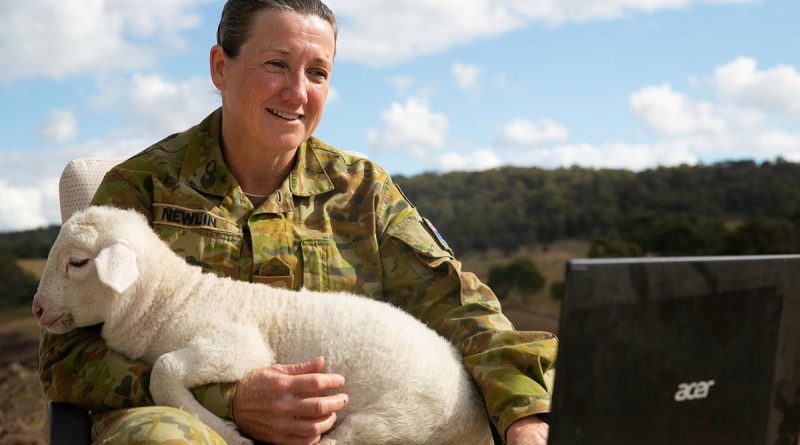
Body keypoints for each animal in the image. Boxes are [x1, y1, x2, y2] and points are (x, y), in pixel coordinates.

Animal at [32, 206, 494, 444]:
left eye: (78, 262)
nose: (37, 309)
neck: (169, 299)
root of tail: (471, 408)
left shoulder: (239, 348)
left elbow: (163, 369)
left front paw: (225, 430)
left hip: (393, 421)